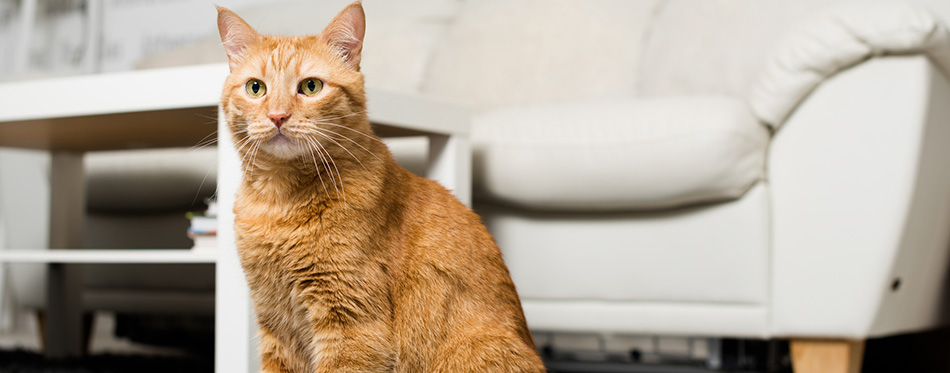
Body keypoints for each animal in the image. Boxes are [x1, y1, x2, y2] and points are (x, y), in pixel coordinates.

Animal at [215, 2, 544, 370]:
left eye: (311, 86)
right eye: (255, 88)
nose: (277, 116)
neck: (279, 200)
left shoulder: (352, 324)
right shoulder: (276, 324)